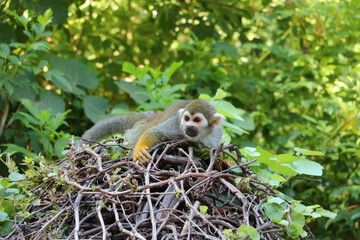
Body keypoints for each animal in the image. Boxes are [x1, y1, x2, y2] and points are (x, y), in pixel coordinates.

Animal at [79, 99, 225, 165]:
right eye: (187, 119)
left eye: (197, 120)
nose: (188, 126)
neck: (202, 135)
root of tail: (146, 118)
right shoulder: (177, 126)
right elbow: (155, 132)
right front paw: (140, 150)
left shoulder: (216, 134)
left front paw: (219, 161)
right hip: (136, 131)